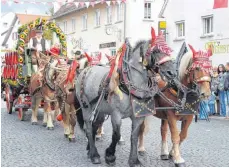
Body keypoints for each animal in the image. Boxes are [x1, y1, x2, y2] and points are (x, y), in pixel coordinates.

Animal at [74, 29, 180, 165]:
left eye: (169, 51)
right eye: (155, 51)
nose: (172, 72)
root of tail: (85, 70)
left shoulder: (138, 116)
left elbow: (134, 136)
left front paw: (134, 160)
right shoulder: (116, 115)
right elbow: (116, 135)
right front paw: (110, 155)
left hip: (100, 110)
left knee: (94, 126)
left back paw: (90, 150)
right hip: (86, 108)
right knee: (88, 127)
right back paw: (94, 155)